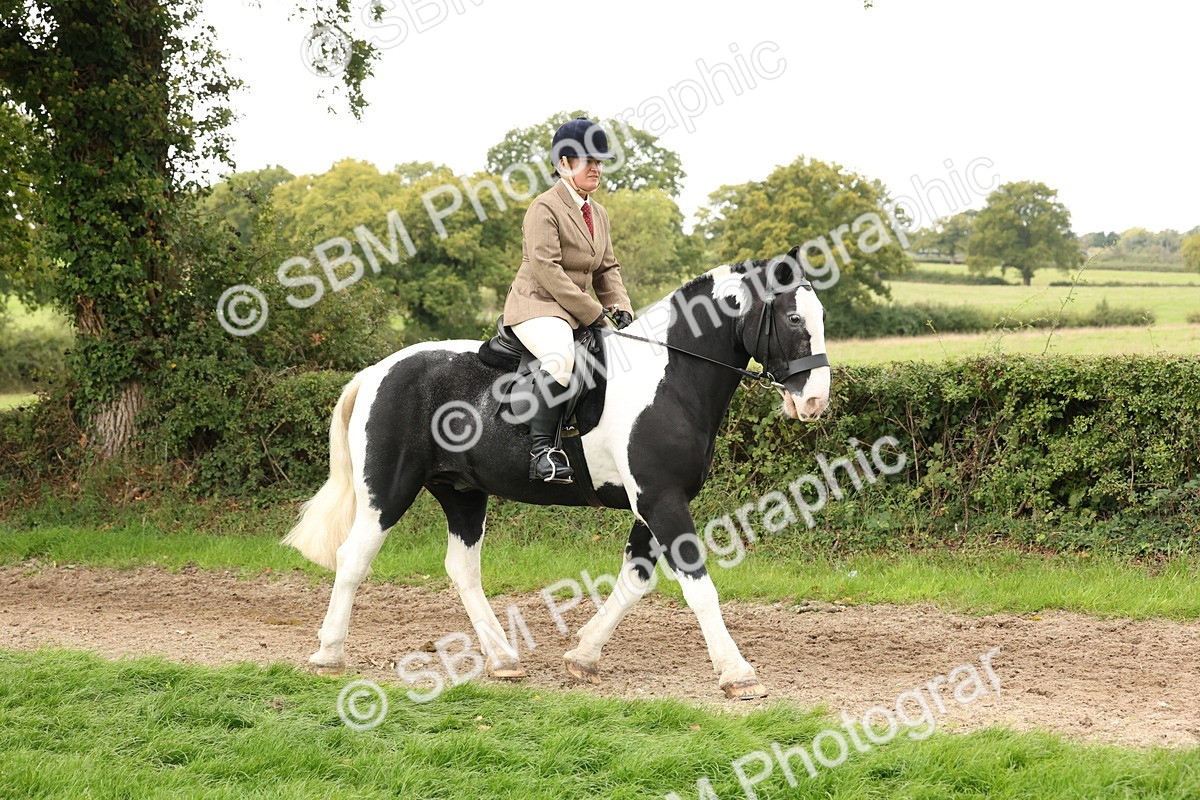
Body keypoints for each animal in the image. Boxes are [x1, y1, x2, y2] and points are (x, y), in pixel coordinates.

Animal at [283, 247, 830, 699]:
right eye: (794, 317)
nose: (815, 402)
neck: (669, 377)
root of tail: (377, 371)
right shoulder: (661, 500)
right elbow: (699, 586)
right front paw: (738, 674)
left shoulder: (654, 503)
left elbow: (635, 580)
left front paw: (583, 655)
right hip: (388, 491)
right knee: (354, 558)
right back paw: (329, 655)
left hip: (462, 492)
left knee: (462, 569)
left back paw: (503, 659)